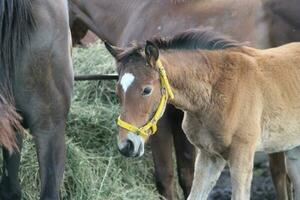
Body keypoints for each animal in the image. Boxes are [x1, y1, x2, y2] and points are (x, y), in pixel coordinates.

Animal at [68, 0, 300, 199]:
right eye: (118, 91)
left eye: (146, 90)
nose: (127, 145)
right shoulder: (207, 154)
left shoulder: (239, 155)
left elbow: (166, 176)